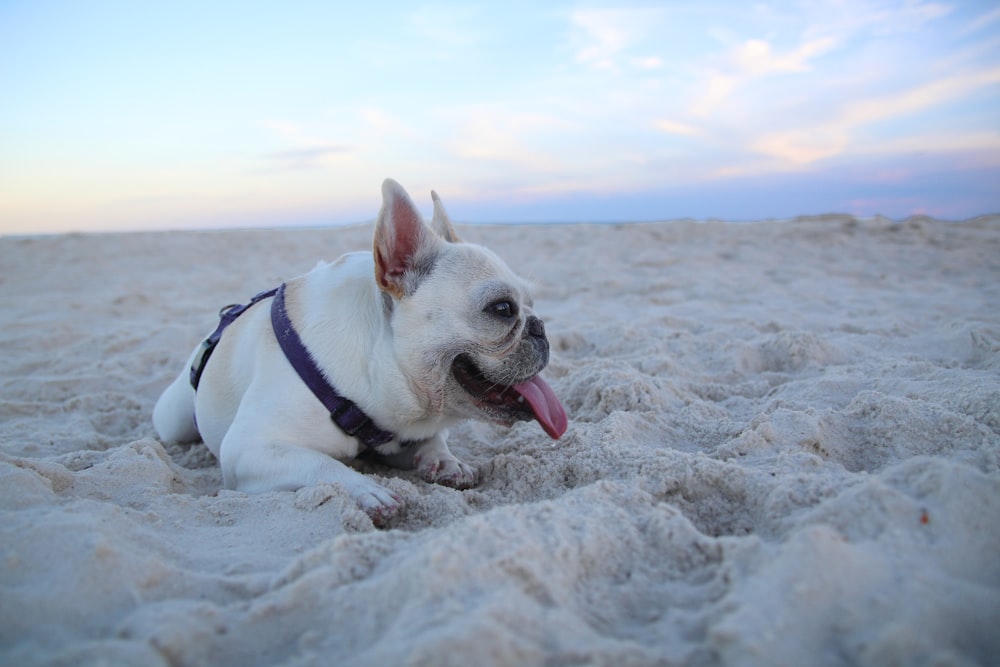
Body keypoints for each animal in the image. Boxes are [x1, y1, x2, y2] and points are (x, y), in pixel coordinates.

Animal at [152, 180, 568, 524]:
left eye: (531, 304)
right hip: (173, 420)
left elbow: (434, 441)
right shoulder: (248, 449)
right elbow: (321, 464)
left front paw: (445, 459)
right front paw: (365, 489)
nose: (540, 328)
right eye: (503, 309)